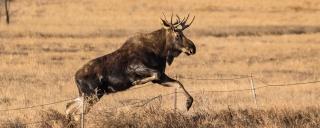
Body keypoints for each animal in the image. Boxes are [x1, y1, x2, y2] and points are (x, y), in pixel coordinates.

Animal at [66, 14, 196, 118]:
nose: (193, 48)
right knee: (76, 112)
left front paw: (188, 103)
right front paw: (137, 82)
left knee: (69, 107)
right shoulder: (135, 67)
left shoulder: (161, 78)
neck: (160, 52)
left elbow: (178, 83)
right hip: (92, 95)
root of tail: (75, 77)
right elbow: (156, 74)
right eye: (177, 35)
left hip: (89, 95)